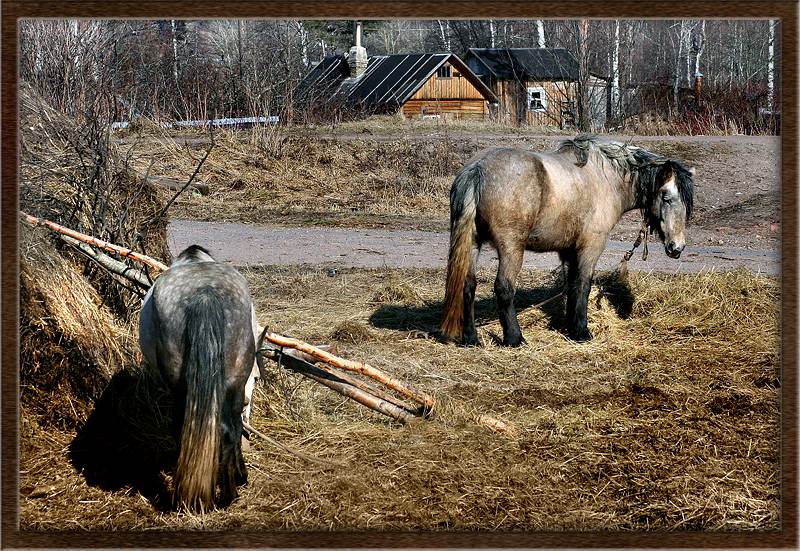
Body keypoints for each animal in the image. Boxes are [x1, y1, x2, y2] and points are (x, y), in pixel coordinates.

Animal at [440, 135, 692, 344]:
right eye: (667, 197)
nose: (677, 247)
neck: (605, 178)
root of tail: (478, 168)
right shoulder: (590, 247)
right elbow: (583, 285)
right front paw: (581, 332)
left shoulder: (569, 250)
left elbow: (571, 286)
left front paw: (570, 327)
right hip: (511, 248)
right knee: (504, 288)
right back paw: (514, 338)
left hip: (473, 244)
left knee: (467, 286)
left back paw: (471, 338)